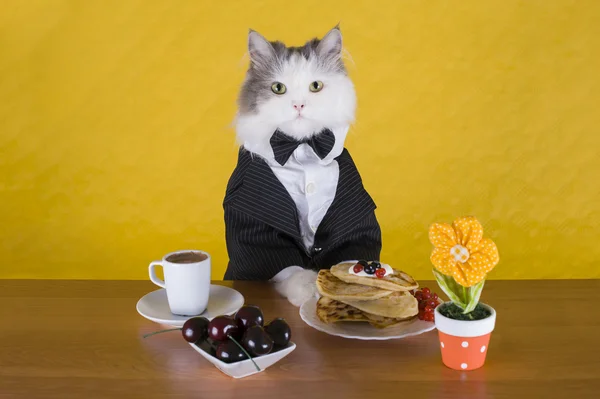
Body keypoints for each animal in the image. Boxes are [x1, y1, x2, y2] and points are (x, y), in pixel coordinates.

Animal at [223, 25, 382, 308]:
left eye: (315, 86)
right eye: (278, 88)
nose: (299, 105)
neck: (300, 147)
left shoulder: (355, 214)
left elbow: (351, 259)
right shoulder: (254, 223)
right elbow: (290, 268)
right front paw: (308, 289)